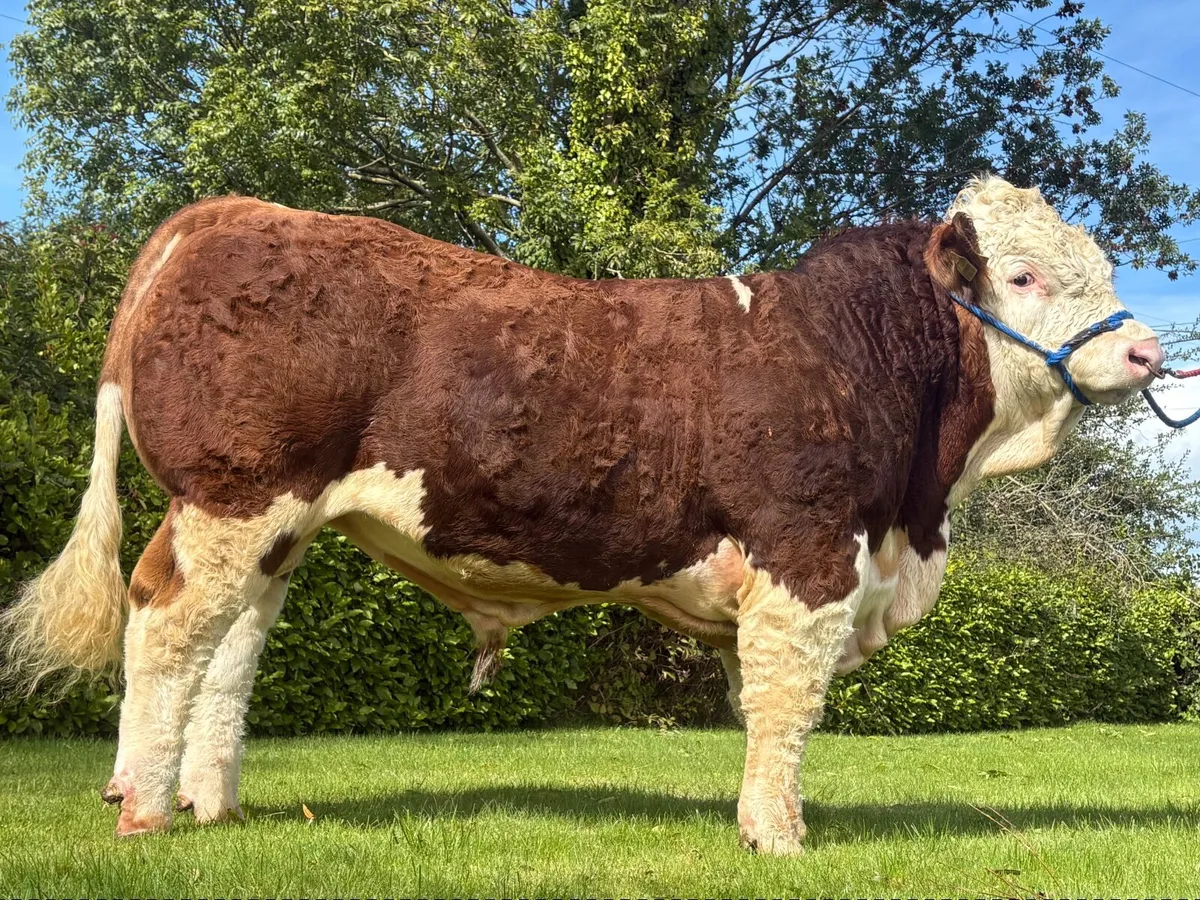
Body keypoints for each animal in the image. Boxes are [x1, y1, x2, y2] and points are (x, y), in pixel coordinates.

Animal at [1, 176, 1164, 853]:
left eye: (1102, 268)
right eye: (1024, 275)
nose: (1149, 351)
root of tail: (238, 211)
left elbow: (762, 706)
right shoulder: (805, 556)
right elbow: (787, 704)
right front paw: (779, 838)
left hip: (275, 527)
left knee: (231, 647)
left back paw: (215, 801)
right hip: (233, 494)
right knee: (164, 624)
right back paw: (144, 808)